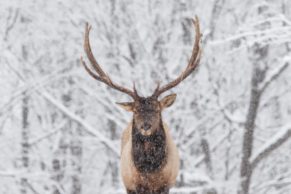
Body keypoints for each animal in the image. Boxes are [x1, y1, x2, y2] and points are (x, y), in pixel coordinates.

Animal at [81, 16, 202, 194]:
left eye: (157, 110)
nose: (145, 126)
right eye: (136, 110)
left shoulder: (165, 184)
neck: (149, 171)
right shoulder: (132, 185)